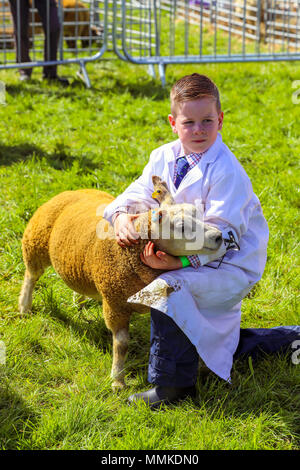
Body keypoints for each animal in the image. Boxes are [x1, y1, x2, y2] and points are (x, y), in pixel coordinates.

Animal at [18, 185, 220, 388]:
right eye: (182, 227)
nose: (218, 236)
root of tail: (74, 190)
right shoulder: (115, 304)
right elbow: (121, 344)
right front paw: (117, 380)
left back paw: (79, 301)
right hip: (35, 242)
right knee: (31, 275)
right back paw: (24, 307)